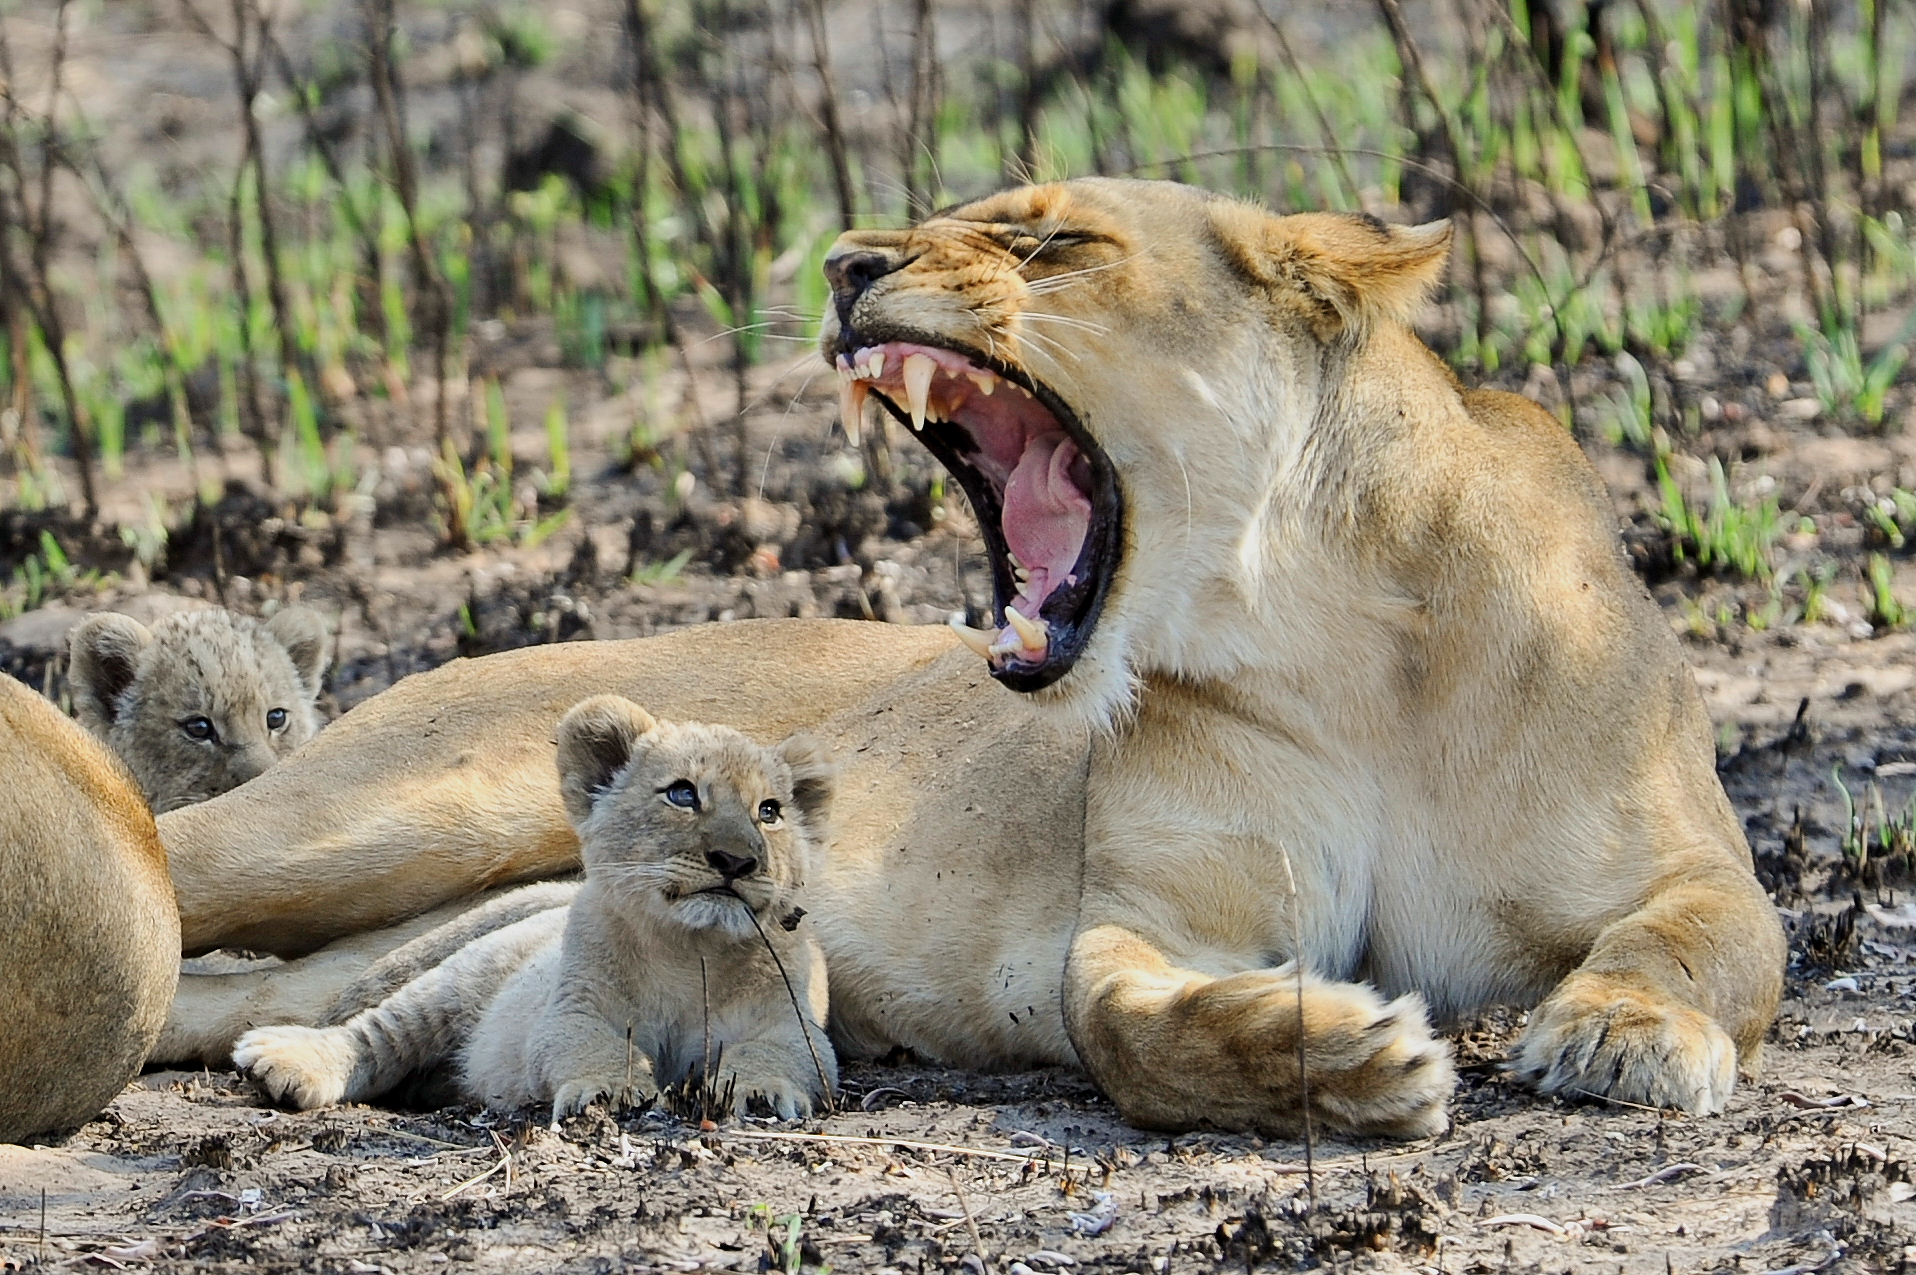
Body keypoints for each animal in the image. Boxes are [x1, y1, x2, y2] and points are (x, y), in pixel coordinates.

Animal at [232, 696, 837, 1121]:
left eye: (769, 812)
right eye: (683, 794)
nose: (736, 860)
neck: (695, 955)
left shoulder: (795, 1026)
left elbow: (776, 1054)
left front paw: (759, 1093)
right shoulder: (572, 1010)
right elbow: (594, 1046)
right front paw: (610, 1092)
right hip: (458, 980)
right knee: (374, 1034)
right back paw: (285, 1060)